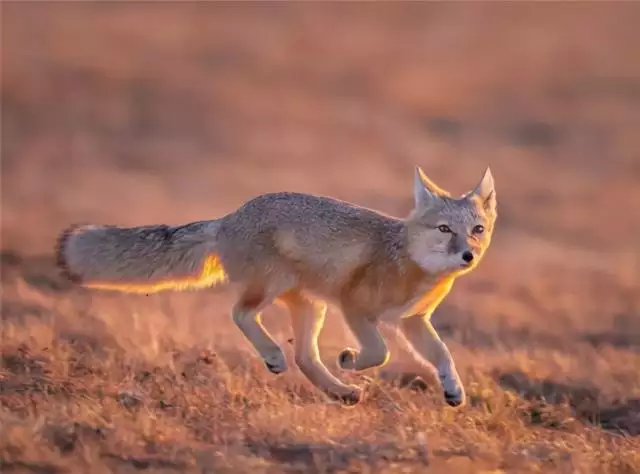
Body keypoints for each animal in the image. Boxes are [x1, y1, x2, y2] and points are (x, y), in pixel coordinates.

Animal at [56, 167, 496, 408]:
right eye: (445, 229)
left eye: (477, 230)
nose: (468, 256)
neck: (410, 262)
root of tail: (229, 218)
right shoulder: (353, 307)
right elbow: (381, 352)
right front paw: (350, 358)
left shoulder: (412, 321)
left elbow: (443, 356)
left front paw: (453, 391)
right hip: (273, 288)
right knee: (240, 314)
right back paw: (274, 356)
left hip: (311, 307)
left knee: (304, 357)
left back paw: (340, 392)